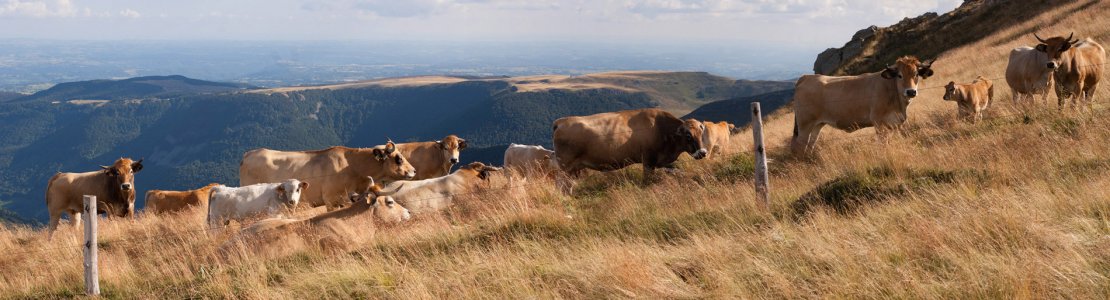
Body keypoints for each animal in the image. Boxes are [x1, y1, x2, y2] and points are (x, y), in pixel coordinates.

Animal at [550, 107, 705, 178]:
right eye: (688, 135)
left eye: (701, 133)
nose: (703, 153)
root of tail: (561, 122)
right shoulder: (648, 160)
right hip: (565, 167)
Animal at [790, 55, 936, 156]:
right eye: (899, 75)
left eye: (916, 74)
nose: (911, 91)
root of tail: (806, 77)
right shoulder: (878, 121)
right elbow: (882, 143)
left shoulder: (894, 123)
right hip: (804, 124)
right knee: (799, 146)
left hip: (817, 124)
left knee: (810, 144)